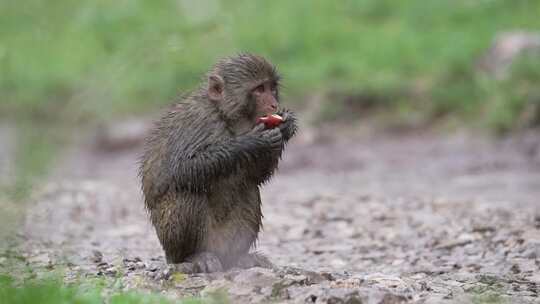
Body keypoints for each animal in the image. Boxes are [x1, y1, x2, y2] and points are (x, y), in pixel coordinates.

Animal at [139, 52, 298, 274]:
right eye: (259, 89)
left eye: (271, 87)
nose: (274, 105)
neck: (226, 116)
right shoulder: (200, 121)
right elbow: (181, 169)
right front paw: (251, 142)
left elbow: (255, 177)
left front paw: (286, 127)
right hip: (176, 243)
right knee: (187, 192)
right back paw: (193, 257)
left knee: (249, 189)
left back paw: (239, 257)